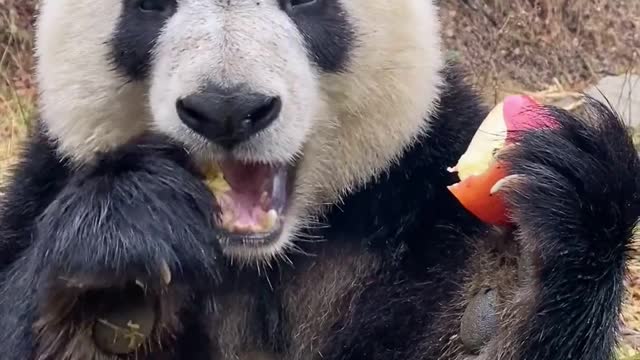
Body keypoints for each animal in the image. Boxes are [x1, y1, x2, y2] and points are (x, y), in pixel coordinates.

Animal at [1, 0, 640, 358]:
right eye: (150, 3)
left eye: (305, 0)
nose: (228, 108)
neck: (260, 261)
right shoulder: (40, 184)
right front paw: (119, 262)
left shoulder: (420, 197)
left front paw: (516, 277)